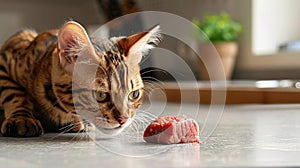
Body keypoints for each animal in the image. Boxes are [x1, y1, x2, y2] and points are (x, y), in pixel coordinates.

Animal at [0, 21, 162, 136]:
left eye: (134, 94)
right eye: (100, 95)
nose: (124, 119)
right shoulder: (6, 56)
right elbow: (13, 92)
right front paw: (22, 119)